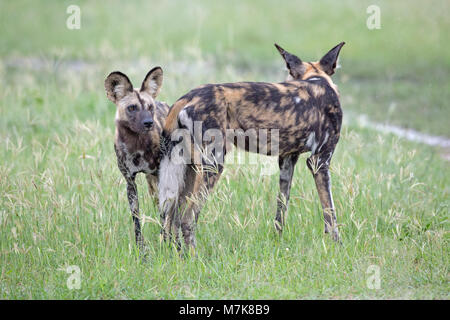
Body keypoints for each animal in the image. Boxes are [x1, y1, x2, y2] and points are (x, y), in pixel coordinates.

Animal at [104, 67, 170, 252]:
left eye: (150, 107)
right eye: (132, 107)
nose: (148, 122)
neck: (138, 145)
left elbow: (164, 214)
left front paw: (165, 241)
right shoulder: (130, 182)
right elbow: (136, 220)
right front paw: (141, 248)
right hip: (151, 185)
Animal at [160, 43, 346, 252]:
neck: (317, 78)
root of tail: (186, 97)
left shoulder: (287, 162)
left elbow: (281, 209)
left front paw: (278, 242)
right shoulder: (319, 161)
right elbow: (330, 213)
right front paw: (338, 247)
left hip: (189, 170)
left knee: (172, 219)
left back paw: (177, 254)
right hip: (213, 166)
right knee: (188, 218)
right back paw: (194, 256)